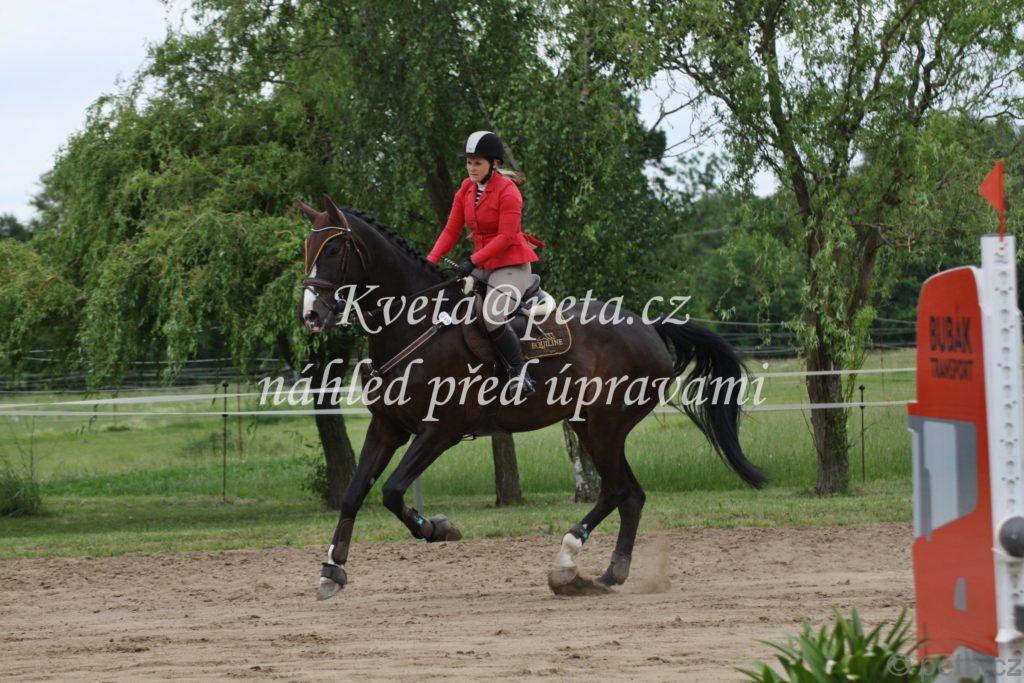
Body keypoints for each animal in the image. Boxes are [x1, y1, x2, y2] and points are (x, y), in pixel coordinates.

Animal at [298, 196, 766, 599]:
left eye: (334, 249)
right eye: (307, 247)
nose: (311, 315)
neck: (415, 324)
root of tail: (649, 326)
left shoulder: (439, 431)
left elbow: (393, 491)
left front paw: (439, 528)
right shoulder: (388, 426)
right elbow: (354, 493)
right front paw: (332, 570)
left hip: (605, 427)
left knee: (616, 491)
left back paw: (567, 559)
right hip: (590, 426)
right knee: (631, 494)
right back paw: (611, 572)